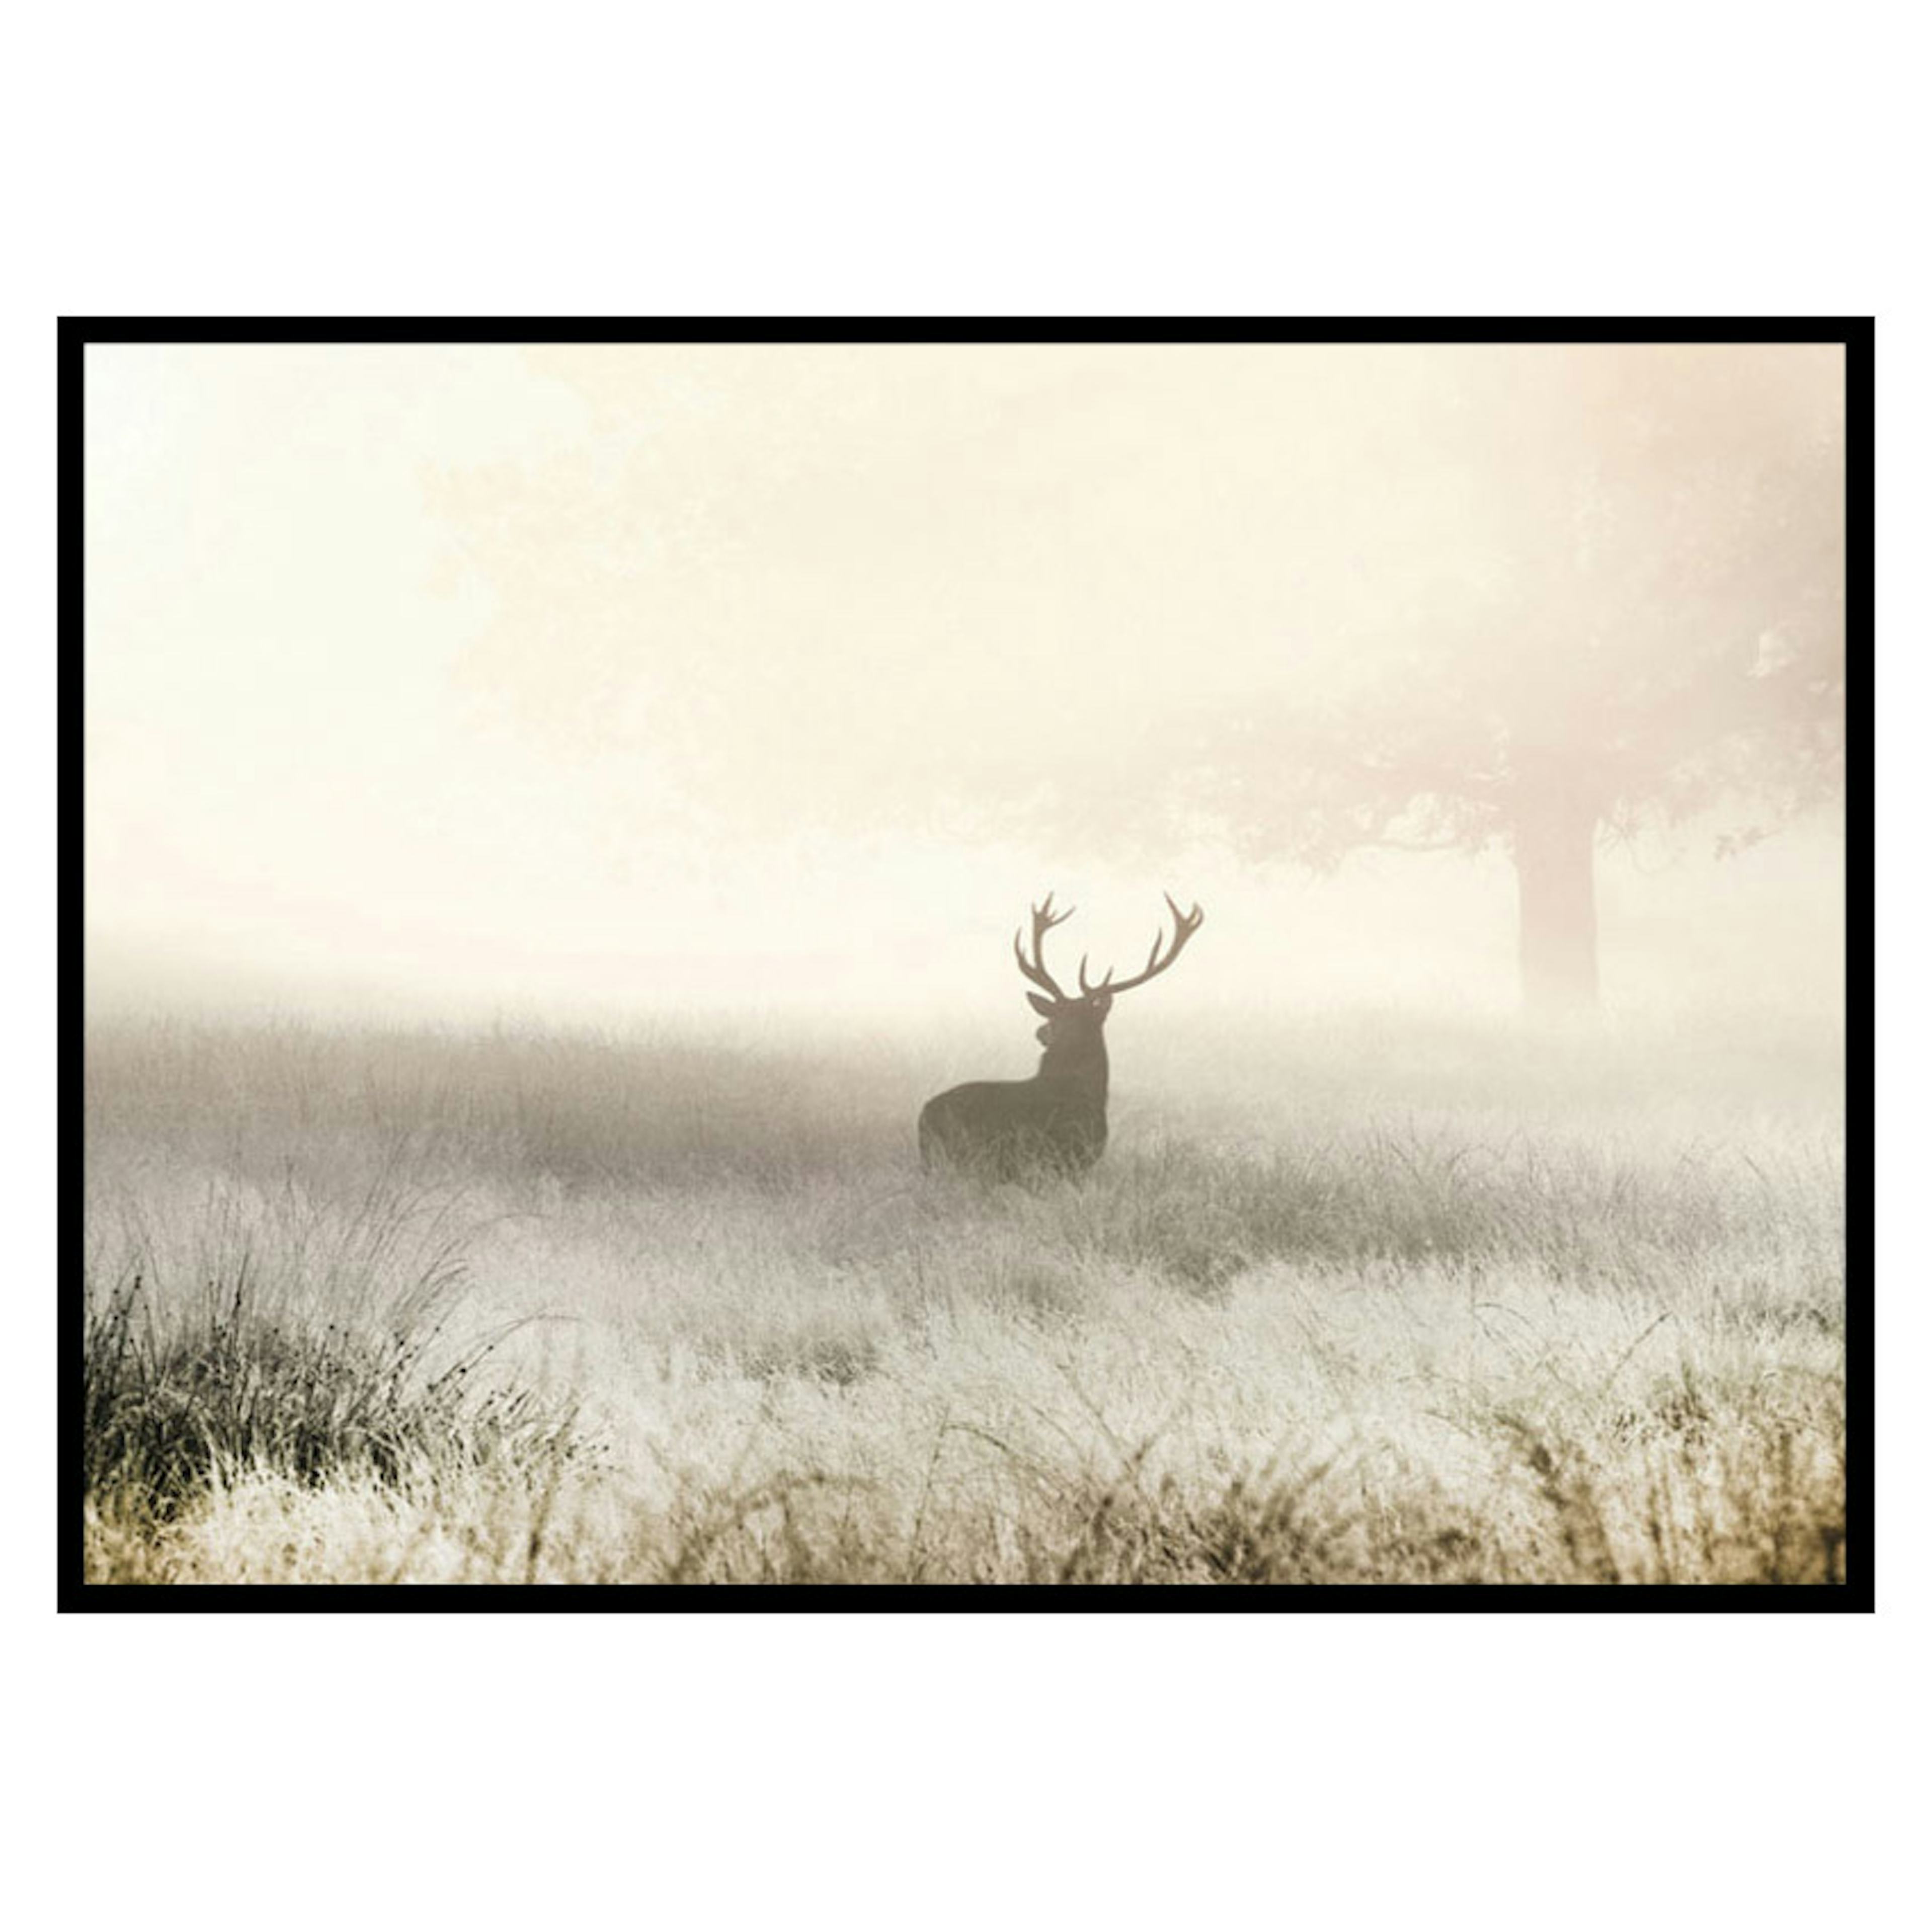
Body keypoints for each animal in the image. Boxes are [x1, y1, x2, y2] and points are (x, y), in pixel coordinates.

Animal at [918, 892, 1205, 1180]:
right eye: (1056, 1013)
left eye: (1065, 1016)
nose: (1041, 1032)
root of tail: (924, 1117)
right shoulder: (1068, 1160)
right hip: (971, 1159)